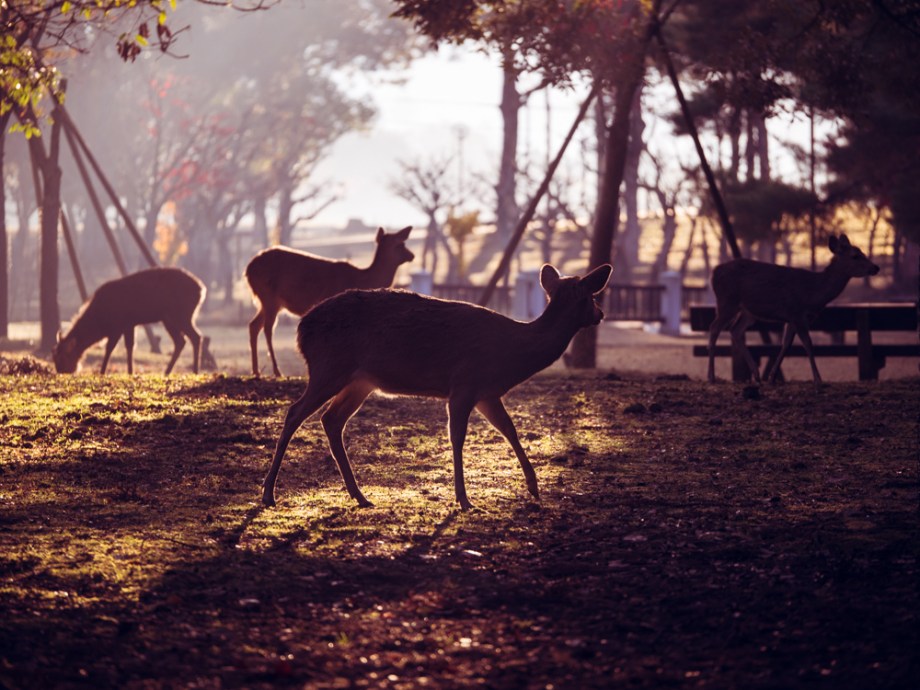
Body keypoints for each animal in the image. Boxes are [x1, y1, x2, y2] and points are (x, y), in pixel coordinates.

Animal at [53, 267, 206, 375]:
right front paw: (130, 372)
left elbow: (110, 348)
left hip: (181, 314)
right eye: (54, 355)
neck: (99, 322)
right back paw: (167, 372)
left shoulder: (117, 326)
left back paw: (195, 371)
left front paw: (102, 372)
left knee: (196, 336)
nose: (61, 370)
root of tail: (202, 289)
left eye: (61, 357)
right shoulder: (130, 324)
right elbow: (130, 346)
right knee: (181, 341)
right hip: (169, 319)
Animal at [245, 226, 414, 377]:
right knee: (267, 328)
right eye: (400, 244)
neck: (362, 279)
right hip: (269, 296)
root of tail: (248, 269)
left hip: (270, 302)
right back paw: (276, 371)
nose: (412, 255)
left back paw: (256, 371)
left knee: (254, 325)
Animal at [260, 262, 613, 512]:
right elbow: (457, 438)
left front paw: (534, 488)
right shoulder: (464, 384)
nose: (601, 314)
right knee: (295, 412)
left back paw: (359, 495)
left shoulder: (487, 393)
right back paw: (268, 493)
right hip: (329, 367)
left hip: (361, 380)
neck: (512, 354)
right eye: (592, 296)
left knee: (331, 419)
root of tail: (301, 328)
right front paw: (464, 499)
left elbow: (509, 430)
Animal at [707, 233, 880, 385]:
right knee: (714, 328)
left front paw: (772, 378)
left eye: (862, 252)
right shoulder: (797, 313)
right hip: (727, 302)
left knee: (735, 330)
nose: (876, 267)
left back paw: (756, 375)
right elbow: (808, 344)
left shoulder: (791, 318)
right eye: (855, 256)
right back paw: (711, 376)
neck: (814, 292)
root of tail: (714, 272)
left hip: (748, 312)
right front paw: (818, 379)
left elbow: (786, 344)